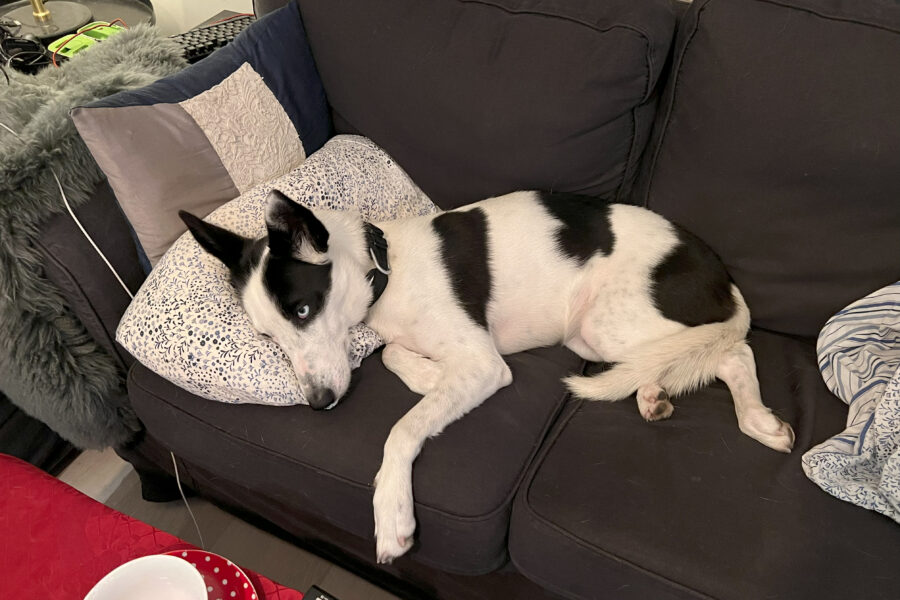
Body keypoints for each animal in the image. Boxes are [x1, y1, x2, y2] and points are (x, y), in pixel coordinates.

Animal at [181, 191, 796, 564]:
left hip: (609, 321)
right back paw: (650, 392)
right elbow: (394, 357)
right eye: (268, 337)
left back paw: (758, 421)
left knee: (733, 354)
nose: (318, 403)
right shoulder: (441, 353)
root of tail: (723, 279)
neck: (387, 268)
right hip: (592, 335)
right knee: (673, 361)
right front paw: (427, 376)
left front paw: (392, 513)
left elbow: (402, 430)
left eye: (304, 310)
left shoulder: (482, 364)